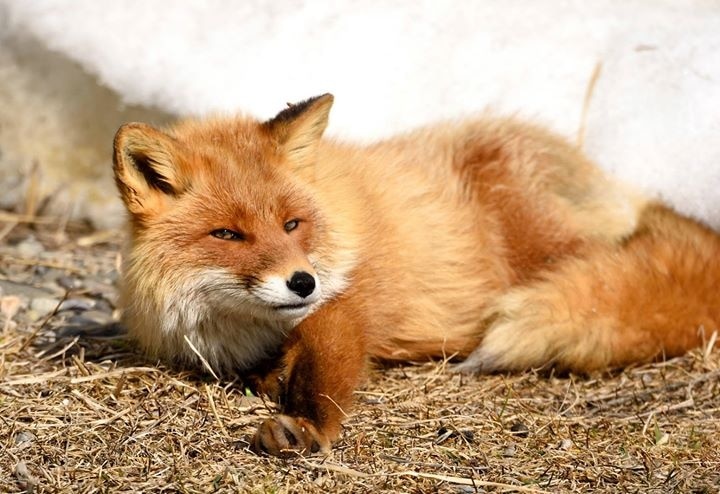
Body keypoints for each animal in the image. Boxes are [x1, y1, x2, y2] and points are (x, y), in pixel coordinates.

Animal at [114, 94, 720, 458]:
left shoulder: (346, 303)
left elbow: (326, 366)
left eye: (291, 224)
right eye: (227, 235)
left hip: (544, 244)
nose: (302, 282)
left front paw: (306, 425)